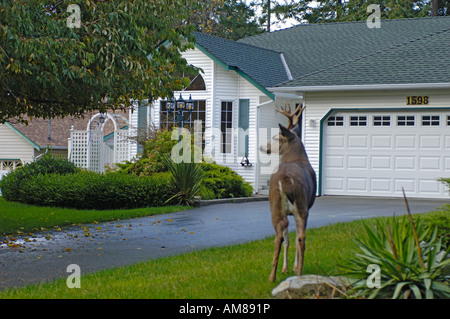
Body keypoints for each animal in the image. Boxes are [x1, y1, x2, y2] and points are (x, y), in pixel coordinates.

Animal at [260, 103, 316, 282]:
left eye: (276, 137)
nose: (262, 146)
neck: (295, 157)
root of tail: (285, 178)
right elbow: (289, 238)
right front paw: (288, 268)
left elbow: (286, 238)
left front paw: (286, 268)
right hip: (300, 206)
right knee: (299, 236)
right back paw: (297, 273)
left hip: (279, 206)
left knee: (283, 235)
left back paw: (273, 276)